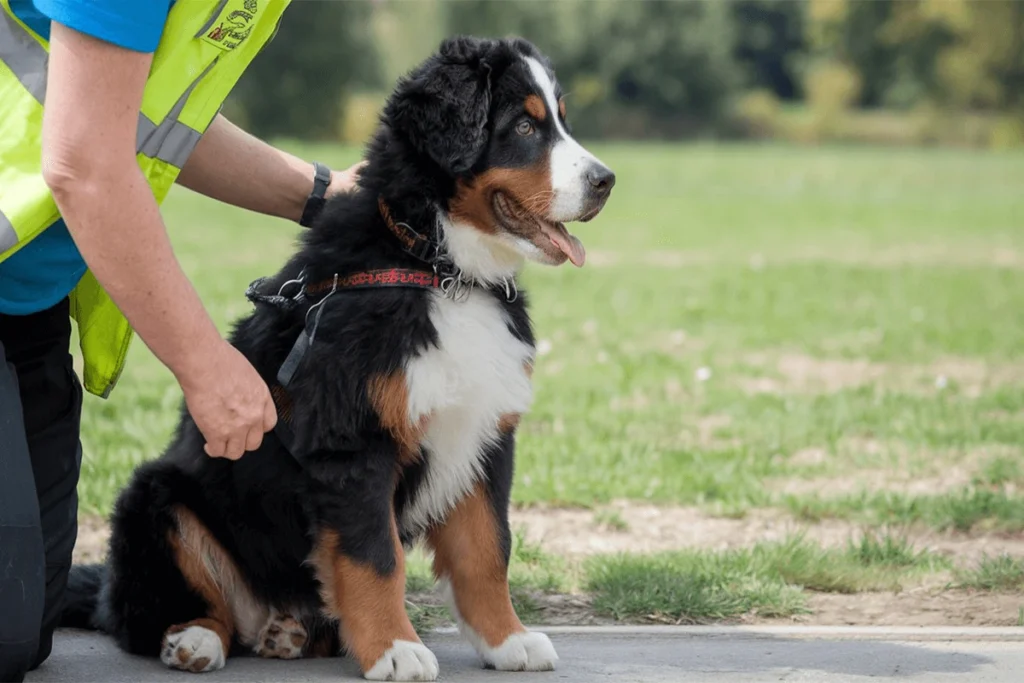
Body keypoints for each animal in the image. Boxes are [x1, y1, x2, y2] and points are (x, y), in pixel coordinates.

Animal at [61, 34, 614, 679]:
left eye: (560, 120)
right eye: (525, 127)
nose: (607, 180)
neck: (440, 270)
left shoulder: (484, 438)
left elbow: (487, 550)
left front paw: (508, 641)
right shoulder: (352, 440)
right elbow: (376, 557)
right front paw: (396, 649)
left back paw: (289, 633)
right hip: (158, 496)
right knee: (159, 613)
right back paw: (196, 640)